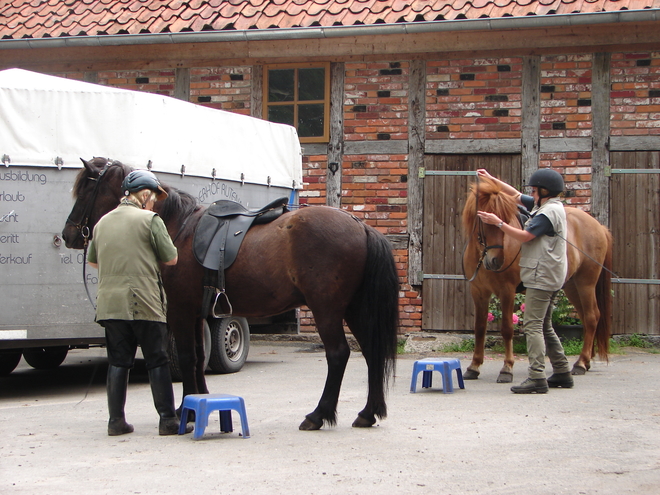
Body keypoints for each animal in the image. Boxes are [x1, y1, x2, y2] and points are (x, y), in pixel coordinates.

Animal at [63, 159, 402, 430]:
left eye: (86, 189)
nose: (68, 234)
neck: (178, 228)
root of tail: (360, 226)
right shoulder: (197, 313)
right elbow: (198, 357)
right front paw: (197, 403)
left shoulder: (180, 311)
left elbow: (186, 358)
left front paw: (186, 413)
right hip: (354, 309)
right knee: (370, 352)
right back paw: (367, 413)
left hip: (327, 310)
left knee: (338, 354)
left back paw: (318, 415)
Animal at [462, 176, 612, 382]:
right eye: (483, 221)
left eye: (502, 221)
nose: (496, 261)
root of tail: (599, 226)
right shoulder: (478, 292)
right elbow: (479, 328)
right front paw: (474, 367)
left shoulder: (507, 291)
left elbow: (507, 329)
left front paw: (506, 369)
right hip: (572, 286)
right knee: (586, 316)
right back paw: (585, 361)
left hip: (586, 283)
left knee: (591, 317)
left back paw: (581, 364)